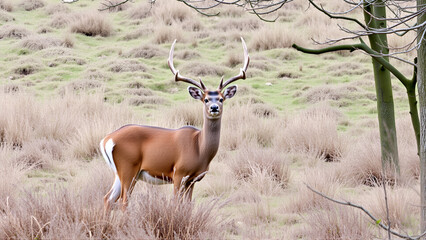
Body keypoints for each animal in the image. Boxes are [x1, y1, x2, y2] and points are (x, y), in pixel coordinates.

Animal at [100, 37, 250, 210]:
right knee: (123, 201)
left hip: (121, 173)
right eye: (205, 99)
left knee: (108, 198)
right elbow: (175, 203)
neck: (199, 148)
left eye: (221, 99)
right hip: (128, 168)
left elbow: (188, 205)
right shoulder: (178, 173)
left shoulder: (193, 179)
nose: (214, 108)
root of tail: (107, 139)